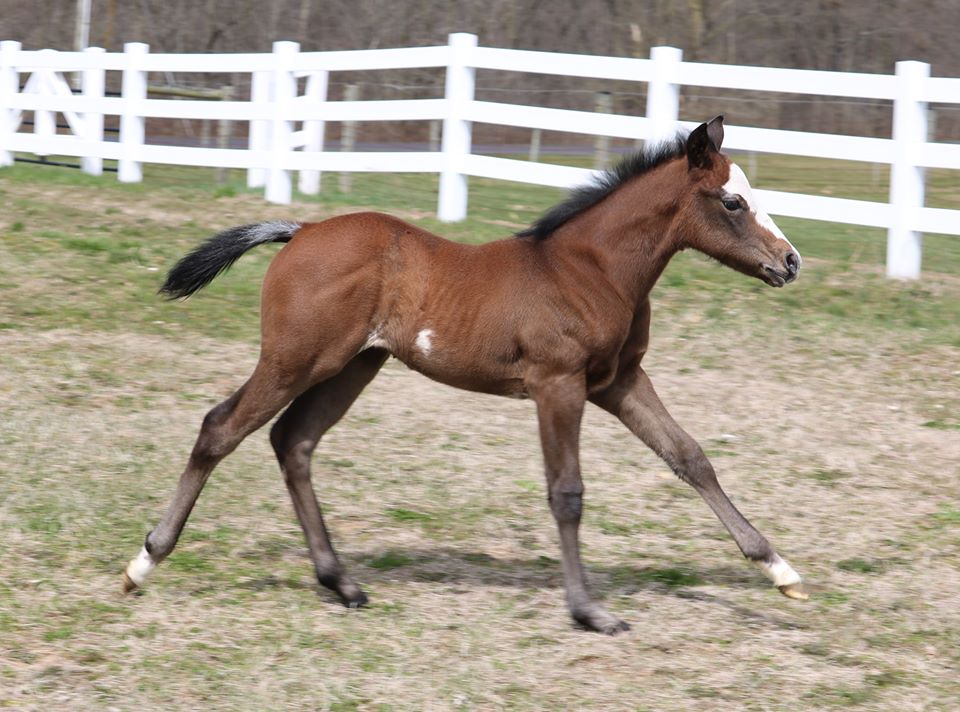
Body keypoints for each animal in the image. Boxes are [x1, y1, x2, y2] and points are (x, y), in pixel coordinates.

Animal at [124, 118, 808, 636]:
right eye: (732, 201)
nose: (790, 262)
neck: (590, 270)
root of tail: (305, 229)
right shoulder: (558, 385)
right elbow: (567, 492)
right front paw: (589, 611)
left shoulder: (619, 382)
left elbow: (690, 458)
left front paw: (780, 570)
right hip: (295, 359)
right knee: (221, 428)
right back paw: (144, 562)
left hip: (352, 365)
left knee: (293, 441)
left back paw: (341, 582)